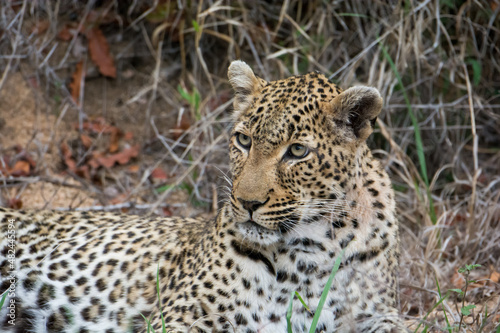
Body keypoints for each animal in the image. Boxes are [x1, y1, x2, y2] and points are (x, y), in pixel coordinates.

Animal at [0, 60, 406, 332]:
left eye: (297, 152)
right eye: (243, 140)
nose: (247, 203)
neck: (315, 245)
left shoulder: (377, 313)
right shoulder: (185, 317)